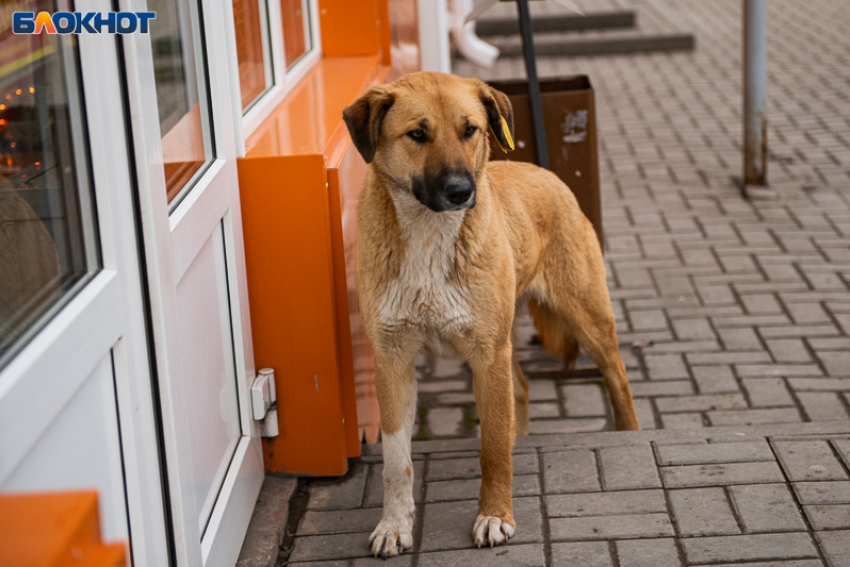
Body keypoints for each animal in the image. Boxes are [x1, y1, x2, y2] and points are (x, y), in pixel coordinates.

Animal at [342, 71, 636, 560]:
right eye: (417, 134)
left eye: (471, 130)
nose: (462, 191)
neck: (428, 233)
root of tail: (545, 172)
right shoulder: (394, 361)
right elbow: (396, 461)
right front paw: (394, 525)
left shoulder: (487, 355)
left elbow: (494, 448)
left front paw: (496, 516)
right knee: (522, 387)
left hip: (586, 317)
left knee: (618, 379)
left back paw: (629, 435)